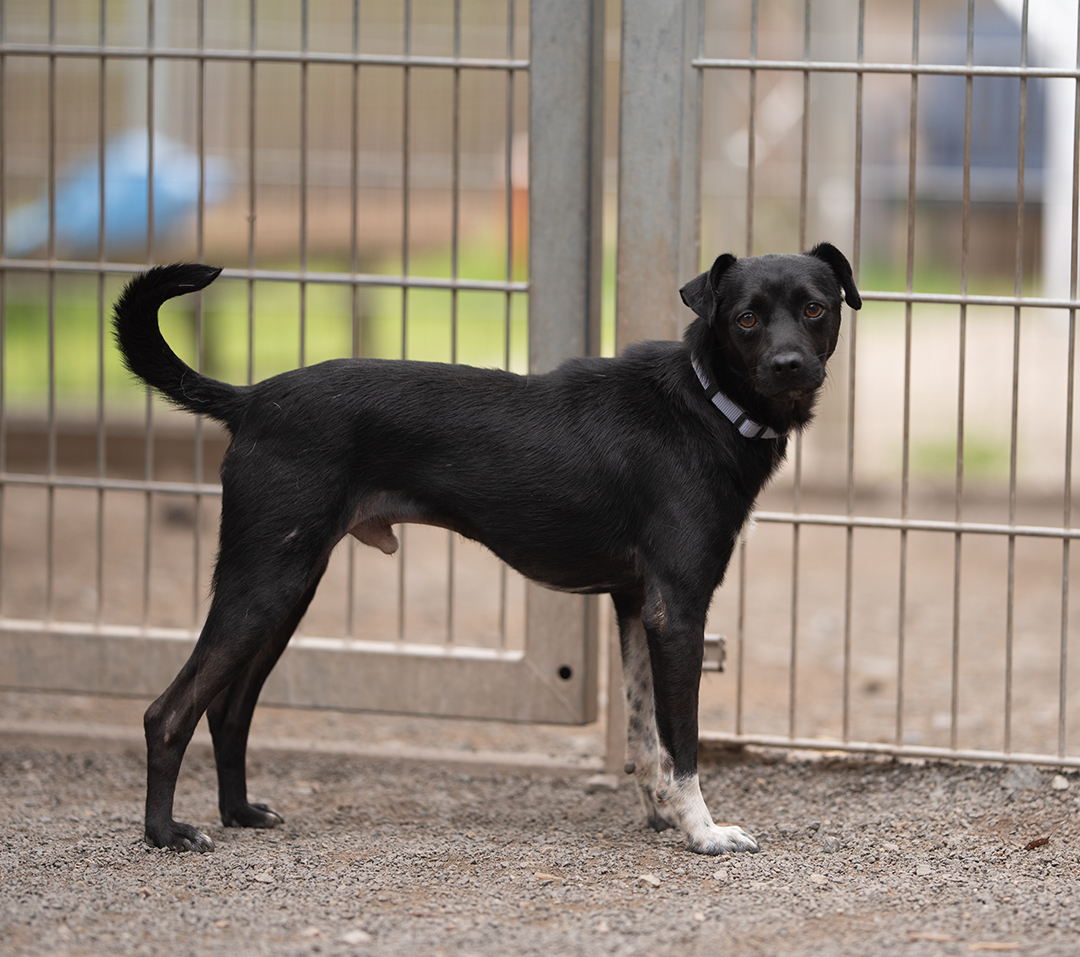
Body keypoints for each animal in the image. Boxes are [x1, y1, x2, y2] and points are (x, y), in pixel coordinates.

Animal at [112, 243, 860, 855]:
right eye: (746, 319)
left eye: (815, 308)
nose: (790, 364)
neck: (705, 403)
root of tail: (252, 398)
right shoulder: (677, 610)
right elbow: (683, 743)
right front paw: (702, 831)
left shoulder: (634, 604)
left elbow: (645, 735)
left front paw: (663, 816)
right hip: (262, 582)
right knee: (167, 712)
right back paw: (165, 833)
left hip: (289, 584)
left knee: (228, 709)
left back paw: (239, 812)